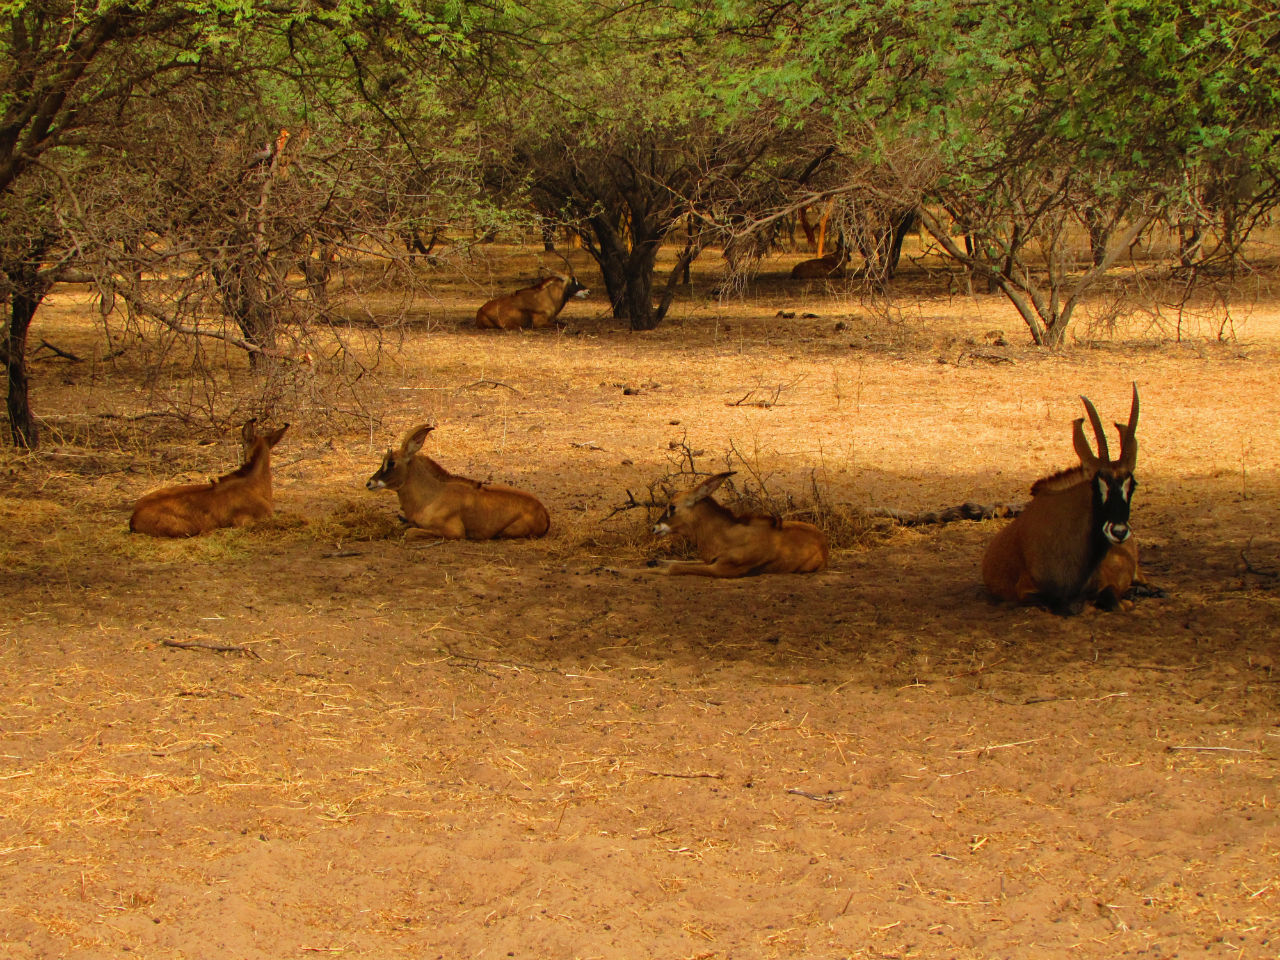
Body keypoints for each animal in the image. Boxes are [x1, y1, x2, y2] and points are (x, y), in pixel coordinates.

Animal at [368, 427, 552, 542]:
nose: (370, 483)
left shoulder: (454, 532)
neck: (432, 495)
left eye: (391, 462)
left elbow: (410, 532)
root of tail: (543, 511)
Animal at [650, 473, 829, 578]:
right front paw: (654, 562)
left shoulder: (723, 569)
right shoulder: (711, 562)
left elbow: (674, 567)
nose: (655, 528)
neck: (726, 534)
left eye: (672, 507)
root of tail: (823, 544)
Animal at [977, 386, 1141, 616]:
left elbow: (1108, 597)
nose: (1118, 531)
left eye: (1132, 485)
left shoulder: (1107, 583)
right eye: (1097, 483)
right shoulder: (1026, 590)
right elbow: (1058, 605)